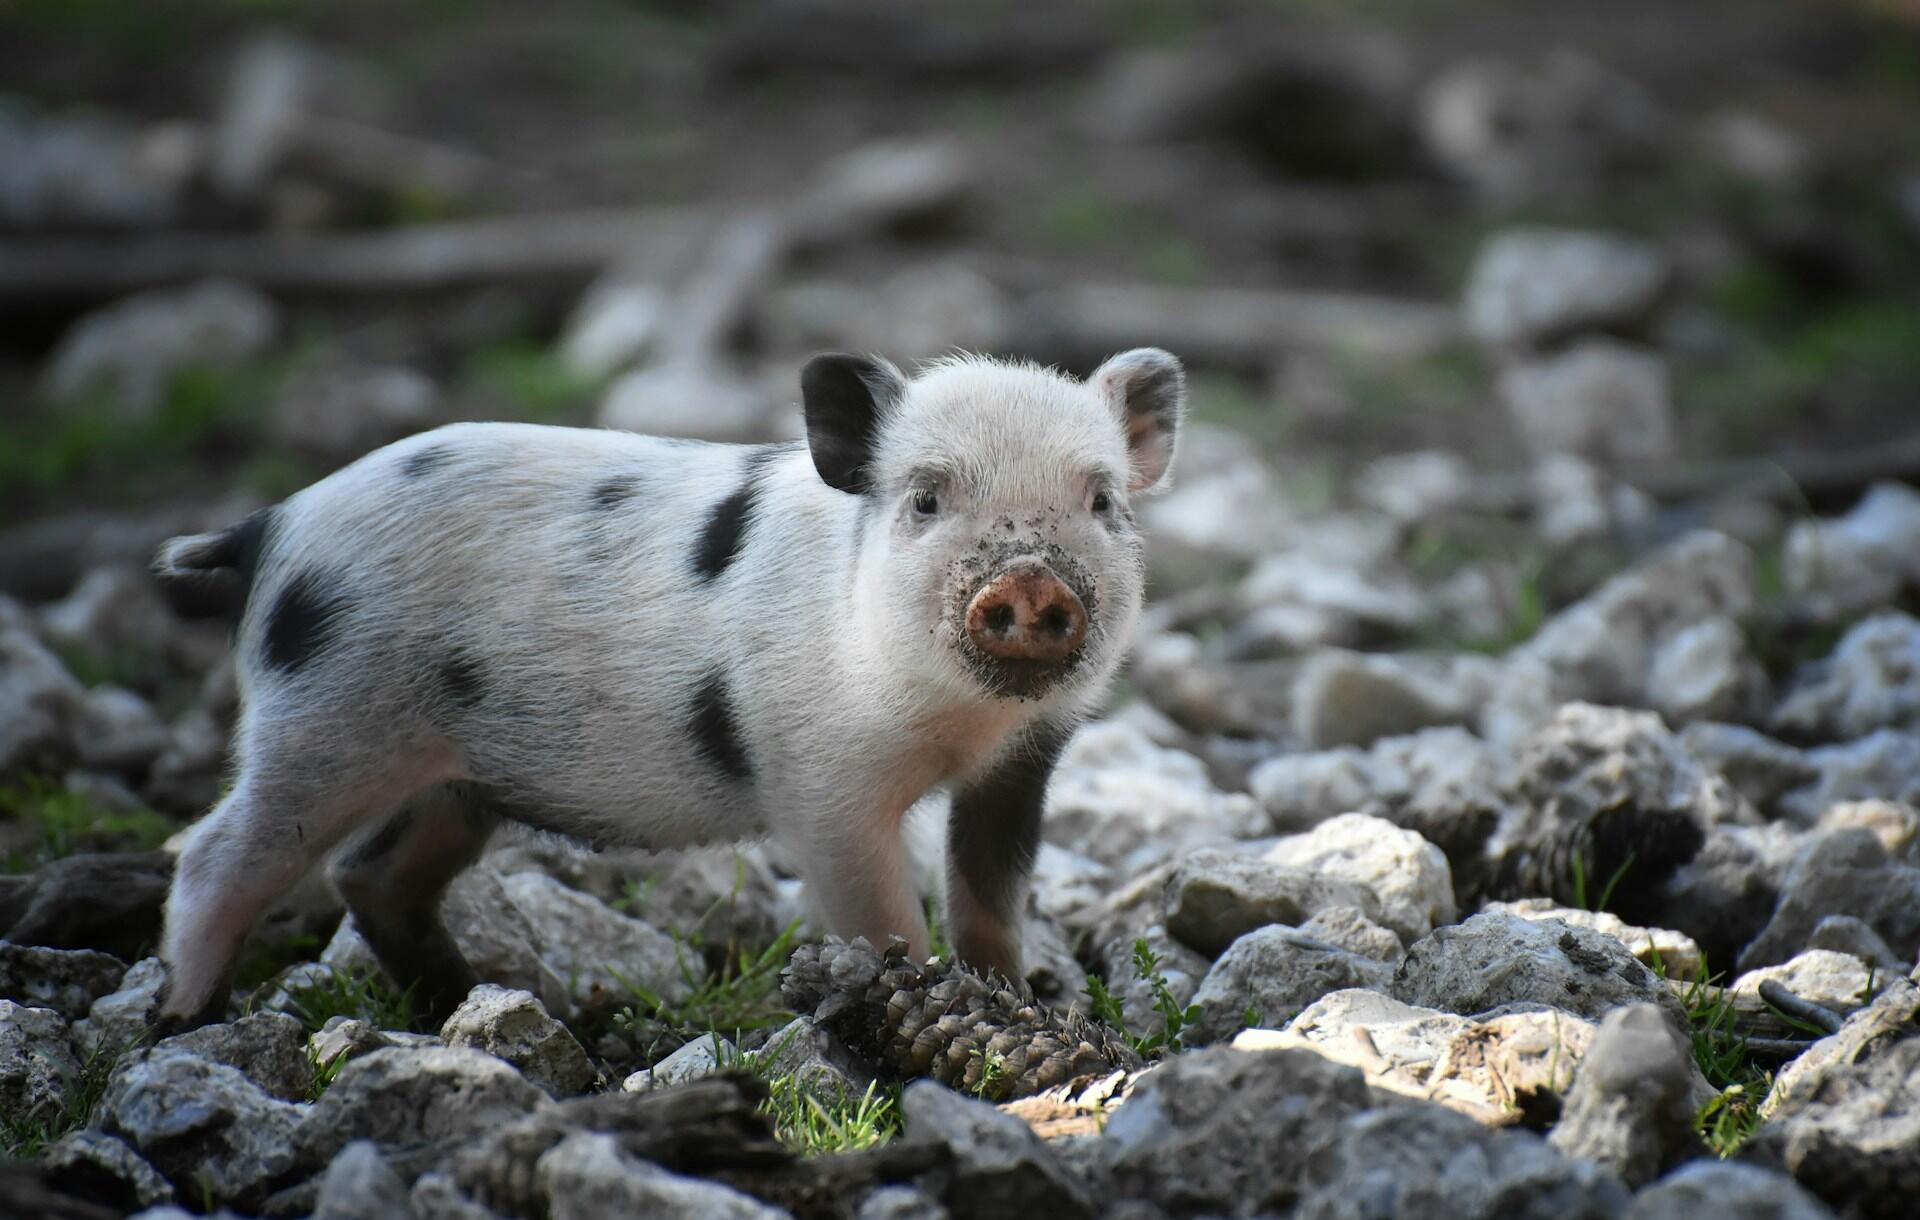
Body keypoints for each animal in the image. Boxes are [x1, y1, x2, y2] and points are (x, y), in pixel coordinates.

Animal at [150, 348, 1185, 1026]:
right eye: (926, 498)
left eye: (1102, 501)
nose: (1030, 580)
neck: (962, 725)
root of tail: (272, 526)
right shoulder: (820, 782)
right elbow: (885, 918)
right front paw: (914, 998)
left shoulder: (1023, 765)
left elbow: (991, 900)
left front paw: (1011, 1003)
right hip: (318, 723)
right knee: (213, 853)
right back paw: (185, 1021)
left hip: (453, 777)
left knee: (371, 874)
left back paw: (477, 1003)